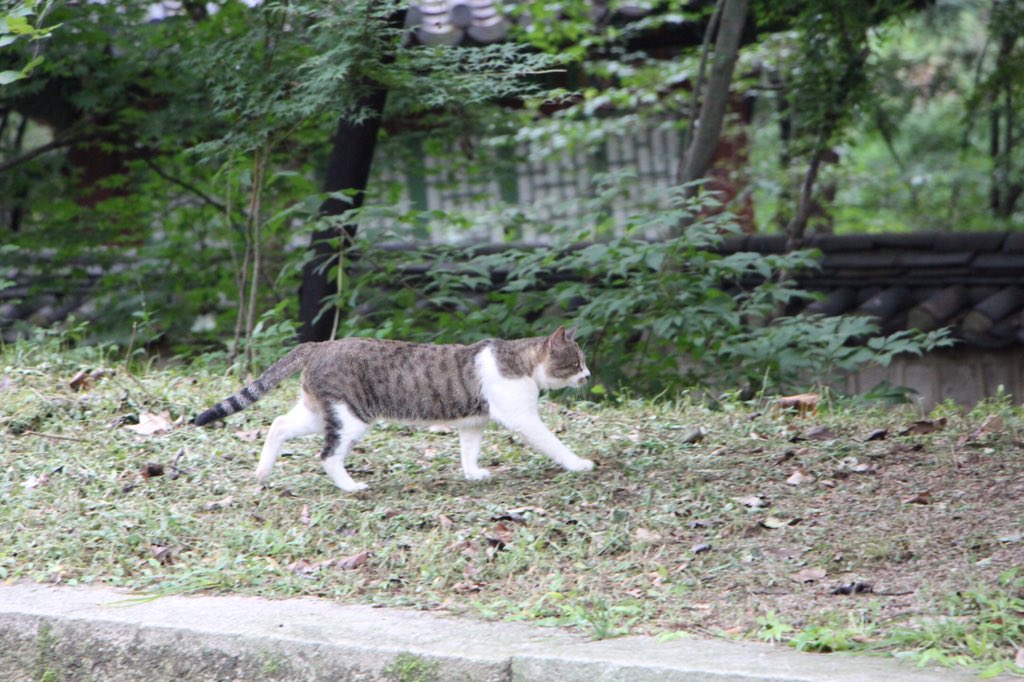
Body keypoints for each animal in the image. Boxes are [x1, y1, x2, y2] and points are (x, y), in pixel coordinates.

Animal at [192, 325, 598, 489]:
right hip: (350, 416)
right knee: (328, 455)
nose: (589, 375)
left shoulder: (473, 422)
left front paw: (472, 474)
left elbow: (469, 451)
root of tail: (320, 344)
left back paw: (262, 472)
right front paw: (579, 463)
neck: (522, 361)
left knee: (278, 423)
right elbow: (552, 442)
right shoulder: (521, 417)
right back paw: (351, 487)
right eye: (577, 362)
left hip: (319, 410)